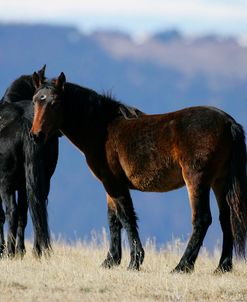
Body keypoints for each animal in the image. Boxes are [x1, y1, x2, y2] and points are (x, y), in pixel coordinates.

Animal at [0, 66, 58, 258]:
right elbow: (24, 215)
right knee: (35, 210)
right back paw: (36, 250)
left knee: (11, 211)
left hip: (6, 184)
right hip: (41, 181)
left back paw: (9, 251)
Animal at [30, 72, 247, 272]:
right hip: (219, 182)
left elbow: (126, 217)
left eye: (55, 102)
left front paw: (134, 261)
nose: (36, 135)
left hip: (197, 180)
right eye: (35, 100)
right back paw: (222, 266)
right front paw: (110, 261)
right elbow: (113, 219)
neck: (102, 129)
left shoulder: (114, 183)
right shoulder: (109, 186)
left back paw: (182, 266)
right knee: (226, 218)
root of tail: (229, 123)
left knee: (202, 219)